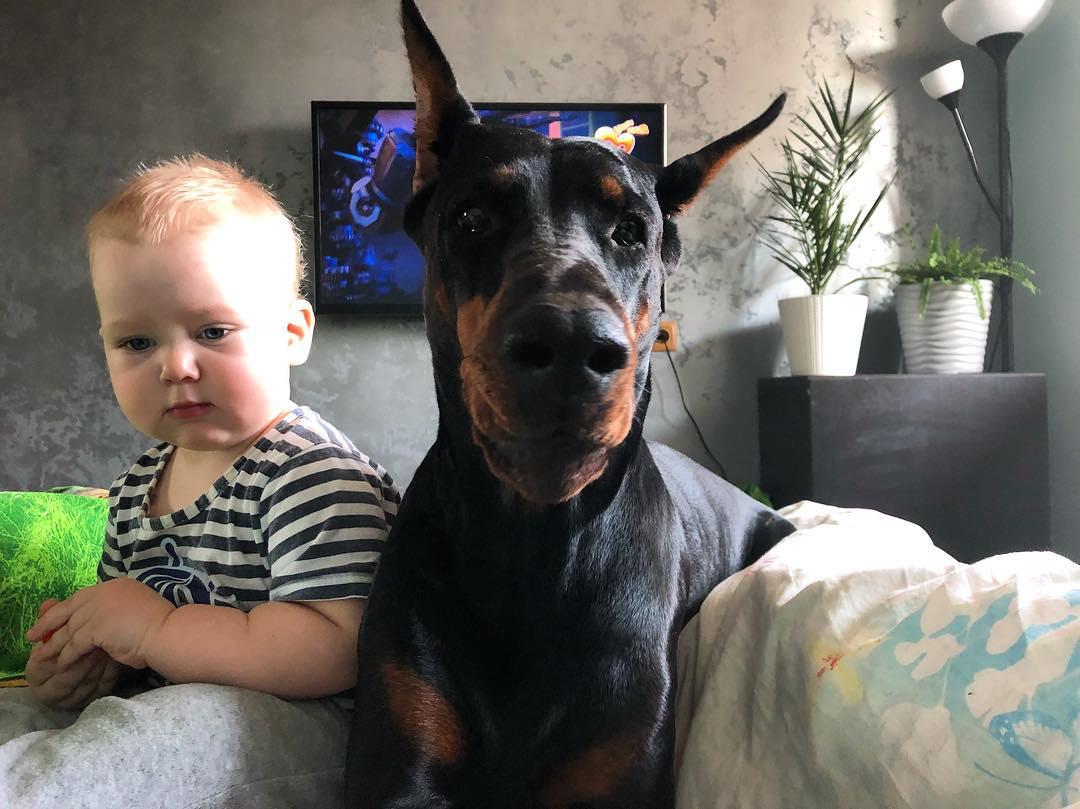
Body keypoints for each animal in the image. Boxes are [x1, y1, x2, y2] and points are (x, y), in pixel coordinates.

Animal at [345, 3, 794, 803]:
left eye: (632, 231)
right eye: (471, 218)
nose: (572, 346)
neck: (533, 543)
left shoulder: (616, 757)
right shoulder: (399, 756)